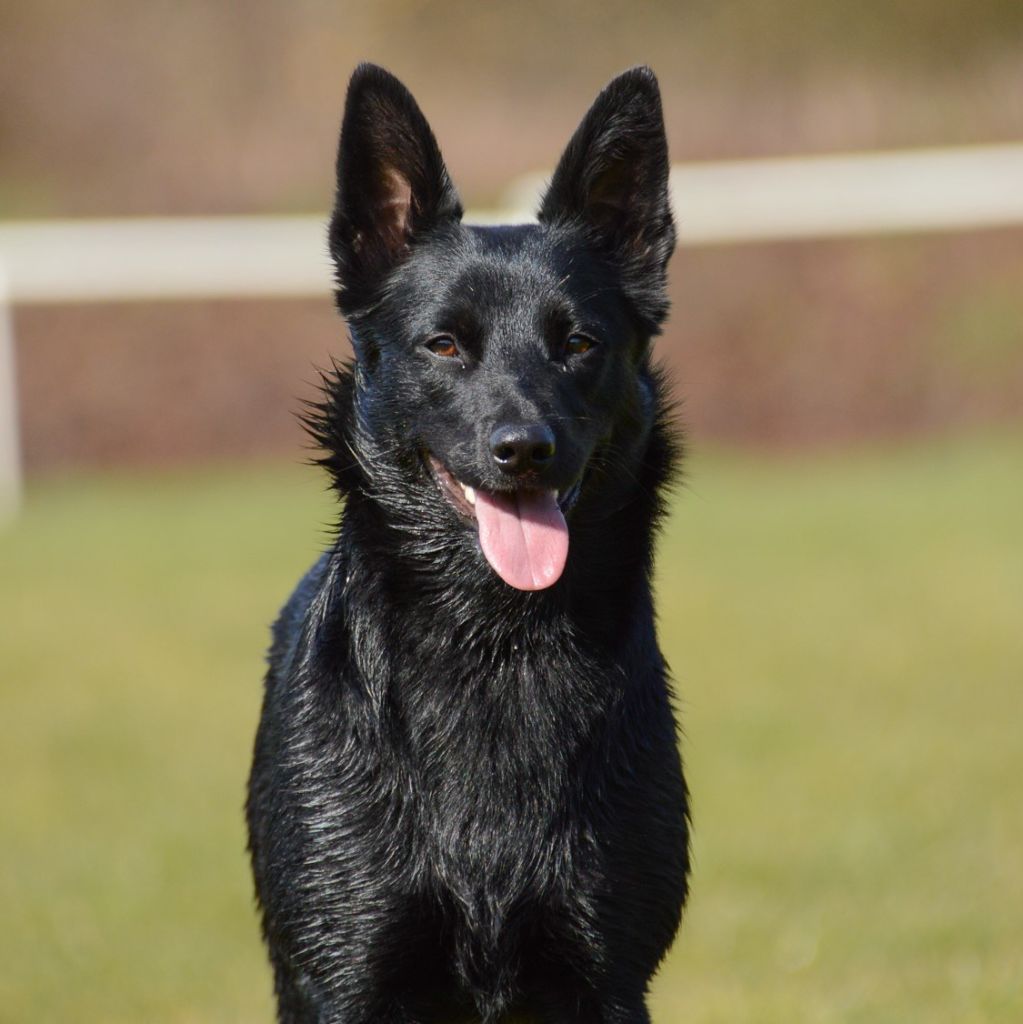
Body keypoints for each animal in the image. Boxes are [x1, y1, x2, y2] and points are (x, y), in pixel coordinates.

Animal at [246, 63, 689, 1024]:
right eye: (444, 344)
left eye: (578, 343)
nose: (523, 448)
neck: (494, 644)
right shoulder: (347, 972)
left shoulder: (607, 973)